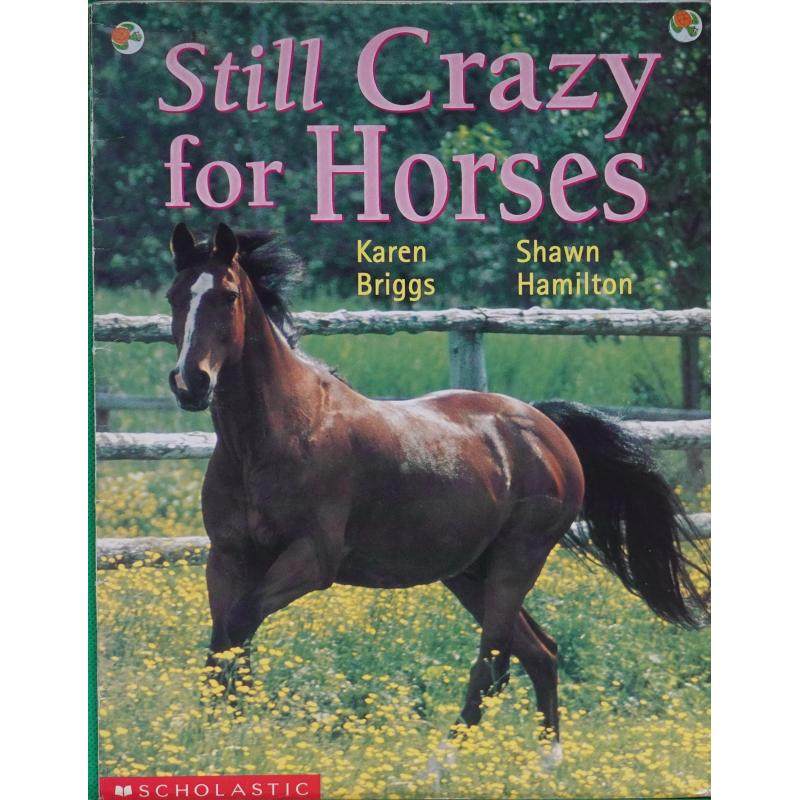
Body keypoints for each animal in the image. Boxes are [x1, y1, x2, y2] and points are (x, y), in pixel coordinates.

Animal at [166, 221, 708, 744]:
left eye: (228, 295)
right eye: (174, 296)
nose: (191, 383)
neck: (272, 438)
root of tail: (548, 428)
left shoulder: (312, 559)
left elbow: (238, 629)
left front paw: (229, 733)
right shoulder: (228, 557)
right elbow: (224, 642)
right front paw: (218, 736)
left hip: (517, 560)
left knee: (493, 666)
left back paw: (444, 760)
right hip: (468, 572)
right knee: (541, 652)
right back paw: (543, 761)